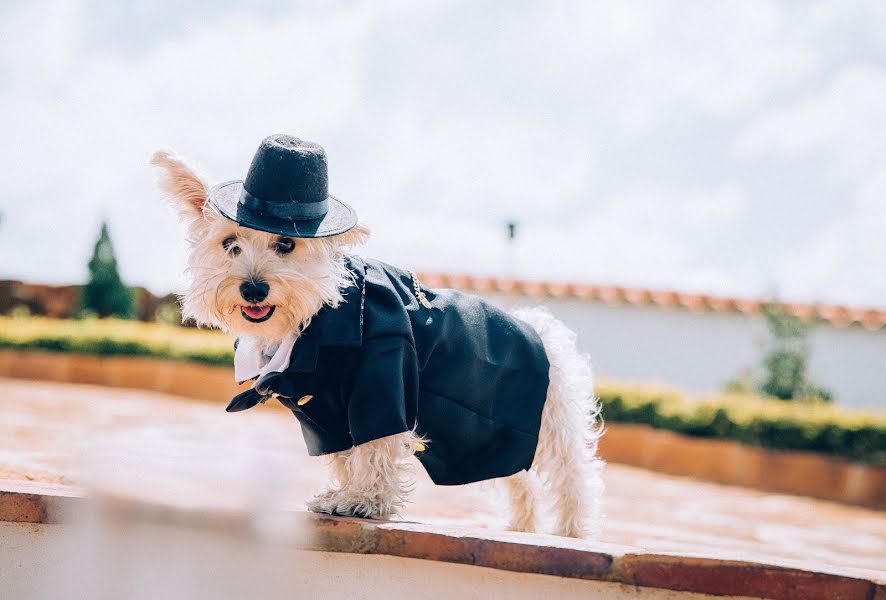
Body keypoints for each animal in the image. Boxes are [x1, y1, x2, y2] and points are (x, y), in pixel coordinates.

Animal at [153, 137, 608, 540]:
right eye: (229, 244)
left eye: (285, 244)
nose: (252, 289)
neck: (318, 321)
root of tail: (539, 327)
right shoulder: (323, 410)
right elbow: (343, 454)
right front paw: (343, 492)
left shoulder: (384, 379)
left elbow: (376, 446)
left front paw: (364, 501)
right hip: (483, 440)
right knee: (519, 479)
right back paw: (522, 526)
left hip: (552, 425)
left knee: (573, 477)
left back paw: (572, 532)